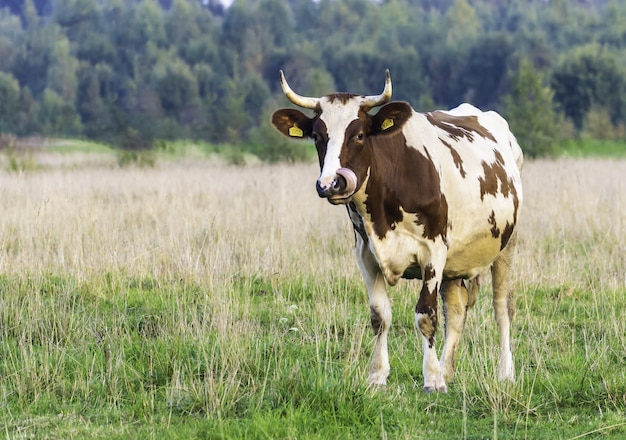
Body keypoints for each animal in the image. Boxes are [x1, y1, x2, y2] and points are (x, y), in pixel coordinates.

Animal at [270, 69, 520, 392]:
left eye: (359, 134)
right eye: (317, 136)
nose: (331, 184)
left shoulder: (433, 251)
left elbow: (426, 315)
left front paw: (432, 379)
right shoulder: (365, 253)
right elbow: (380, 315)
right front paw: (377, 376)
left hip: (507, 245)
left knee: (502, 307)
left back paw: (505, 372)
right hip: (456, 262)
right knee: (456, 310)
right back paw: (448, 369)